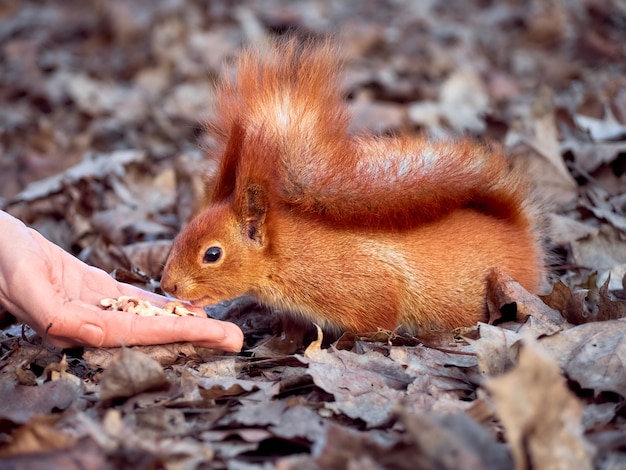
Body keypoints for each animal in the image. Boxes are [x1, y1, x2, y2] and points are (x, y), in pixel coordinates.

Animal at [161, 37, 544, 334]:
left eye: (212, 254)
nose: (167, 286)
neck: (293, 255)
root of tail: (517, 234)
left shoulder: (365, 287)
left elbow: (377, 320)